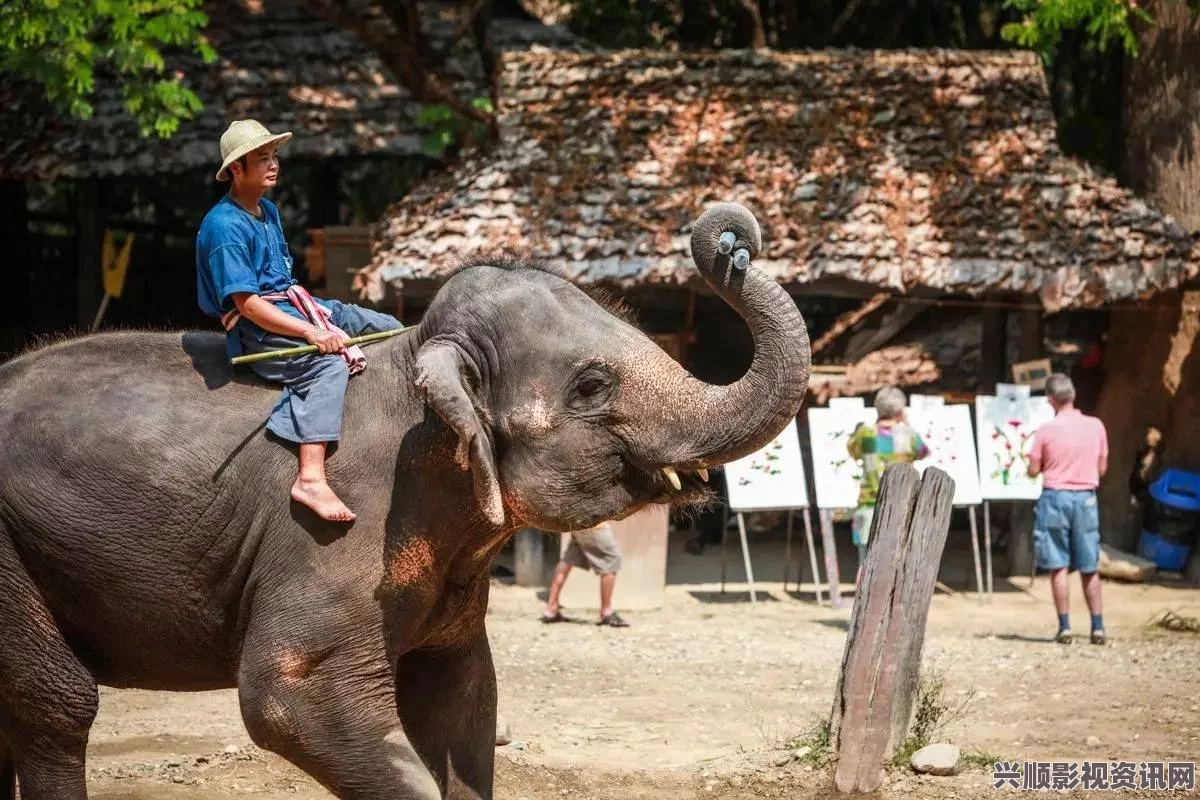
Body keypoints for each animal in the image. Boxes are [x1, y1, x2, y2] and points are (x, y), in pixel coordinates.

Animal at [0, 203, 816, 796]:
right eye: (591, 386)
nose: (733, 243)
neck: (421, 356)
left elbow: (465, 696)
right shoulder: (341, 530)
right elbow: (289, 698)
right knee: (61, 704)